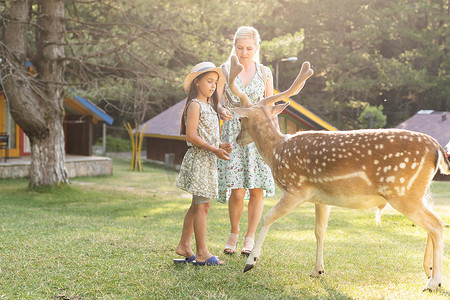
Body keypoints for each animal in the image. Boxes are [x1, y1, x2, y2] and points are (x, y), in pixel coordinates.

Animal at [223, 54, 448, 290]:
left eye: (241, 119)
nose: (238, 139)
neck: (277, 151)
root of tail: (437, 148)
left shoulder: (296, 189)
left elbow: (267, 218)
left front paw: (250, 261)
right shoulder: (321, 198)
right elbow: (319, 230)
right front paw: (317, 271)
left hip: (403, 192)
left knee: (436, 224)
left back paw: (434, 282)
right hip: (417, 192)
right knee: (433, 223)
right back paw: (429, 272)